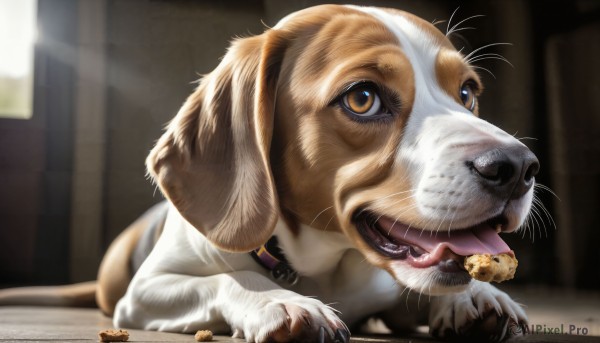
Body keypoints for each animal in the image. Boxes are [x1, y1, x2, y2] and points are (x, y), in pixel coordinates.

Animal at [2, 4, 540, 343]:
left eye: (467, 93)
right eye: (362, 98)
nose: (518, 167)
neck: (323, 265)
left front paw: (478, 294)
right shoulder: (146, 292)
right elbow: (229, 278)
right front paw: (279, 302)